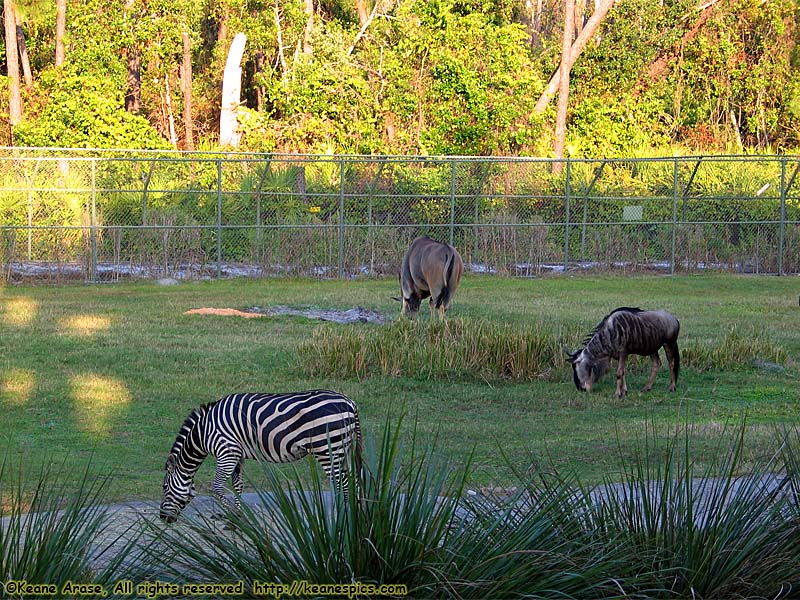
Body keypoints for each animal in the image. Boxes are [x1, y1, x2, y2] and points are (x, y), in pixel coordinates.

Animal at [159, 392, 362, 524]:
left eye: (164, 487)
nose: (163, 518)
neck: (203, 432)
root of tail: (350, 402)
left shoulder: (227, 451)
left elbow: (216, 487)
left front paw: (231, 515)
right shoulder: (237, 454)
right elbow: (238, 485)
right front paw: (238, 517)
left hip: (328, 448)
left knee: (342, 483)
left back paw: (344, 517)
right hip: (345, 448)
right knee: (353, 481)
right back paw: (357, 516)